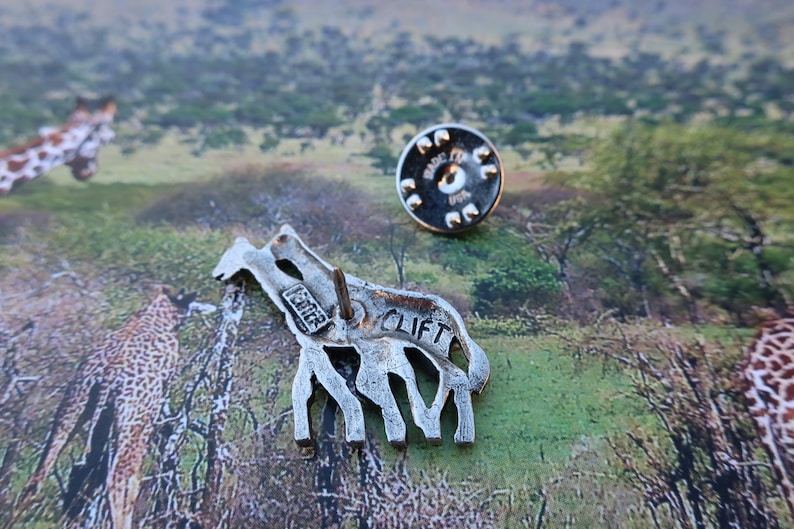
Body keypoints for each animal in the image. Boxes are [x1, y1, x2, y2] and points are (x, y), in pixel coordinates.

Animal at [15, 286, 196, 529]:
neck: (156, 315)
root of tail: (107, 375)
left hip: (74, 404)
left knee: (39, 475)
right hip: (135, 419)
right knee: (120, 480)